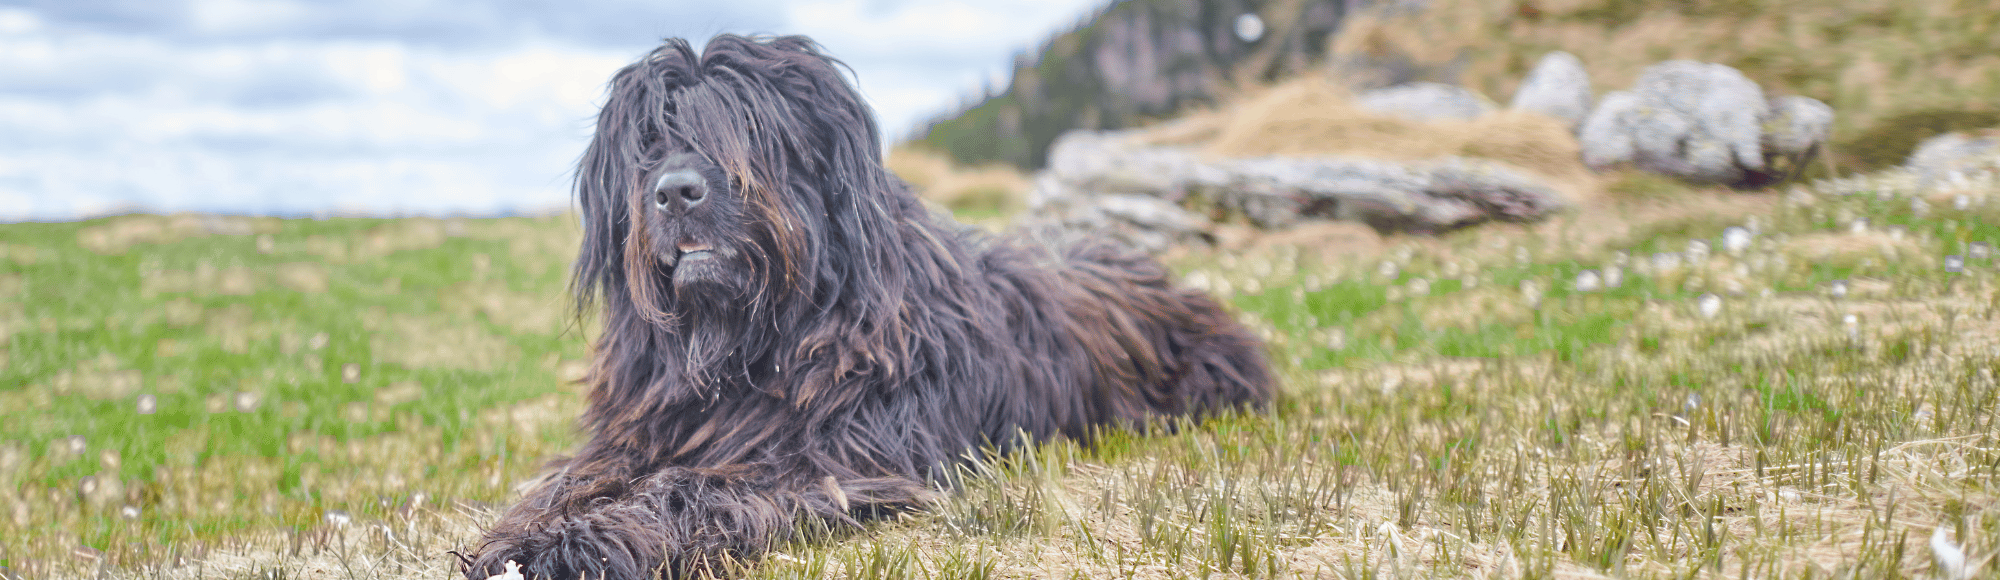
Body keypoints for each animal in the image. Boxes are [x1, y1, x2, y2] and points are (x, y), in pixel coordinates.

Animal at [462, 36, 1272, 580]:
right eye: (650, 140)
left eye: (748, 129)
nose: (676, 191)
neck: (747, 344)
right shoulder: (640, 429)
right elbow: (573, 477)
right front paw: (524, 535)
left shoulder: (837, 457)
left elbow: (695, 487)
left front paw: (583, 543)